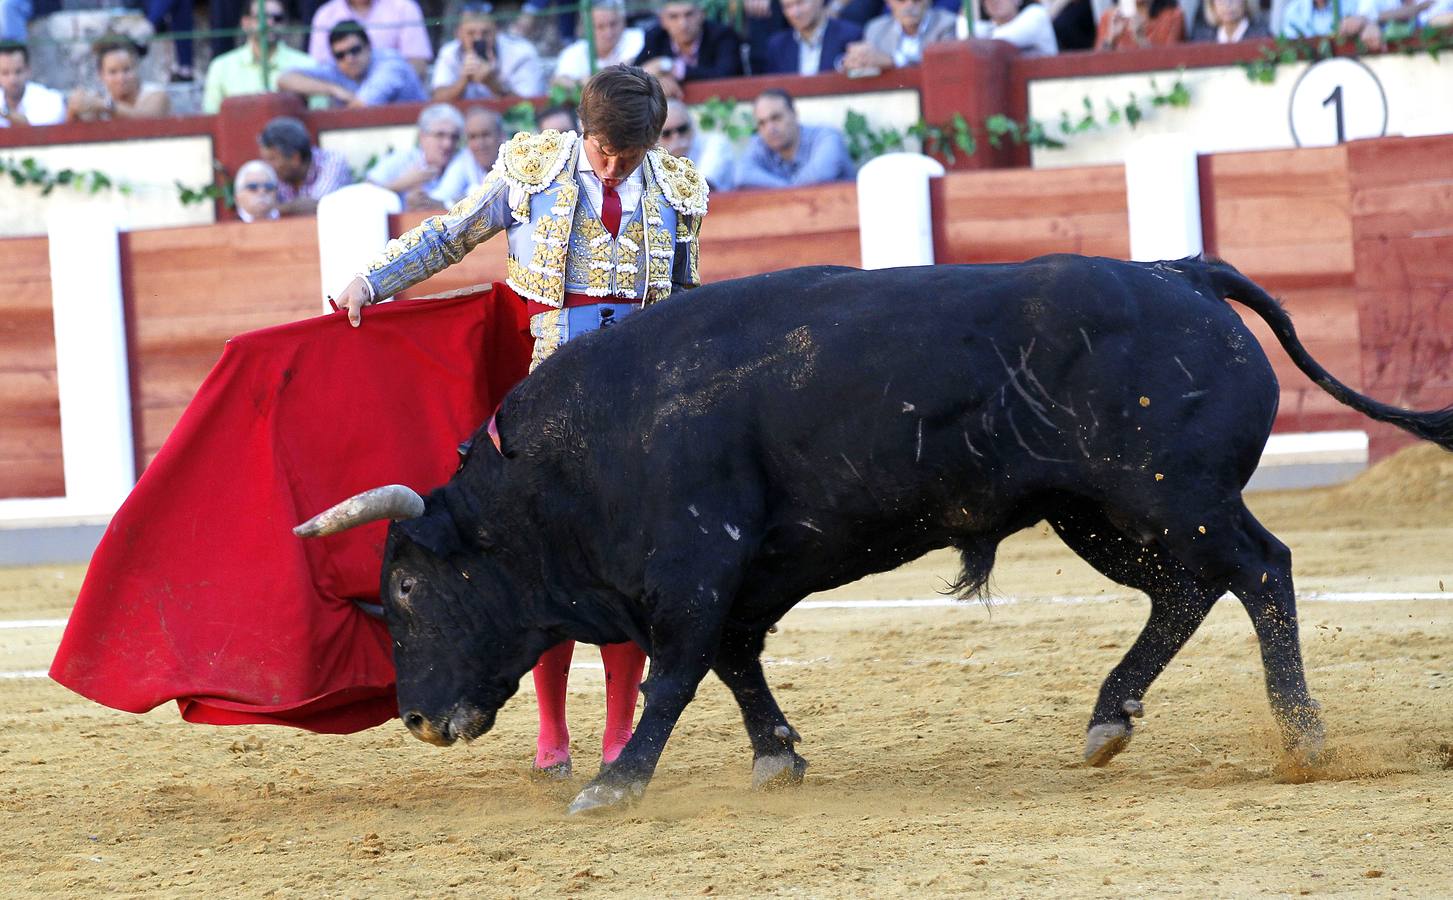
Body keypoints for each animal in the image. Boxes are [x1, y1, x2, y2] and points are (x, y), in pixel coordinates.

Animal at [294, 255, 1453, 814]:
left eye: (408, 593)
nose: (417, 719)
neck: (567, 466)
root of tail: (1180, 271)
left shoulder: (695, 566)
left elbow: (676, 675)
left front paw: (614, 786)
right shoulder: (745, 578)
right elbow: (734, 666)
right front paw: (776, 758)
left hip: (1173, 498)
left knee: (1261, 570)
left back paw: (1301, 735)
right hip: (1103, 516)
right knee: (1190, 590)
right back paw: (1107, 719)